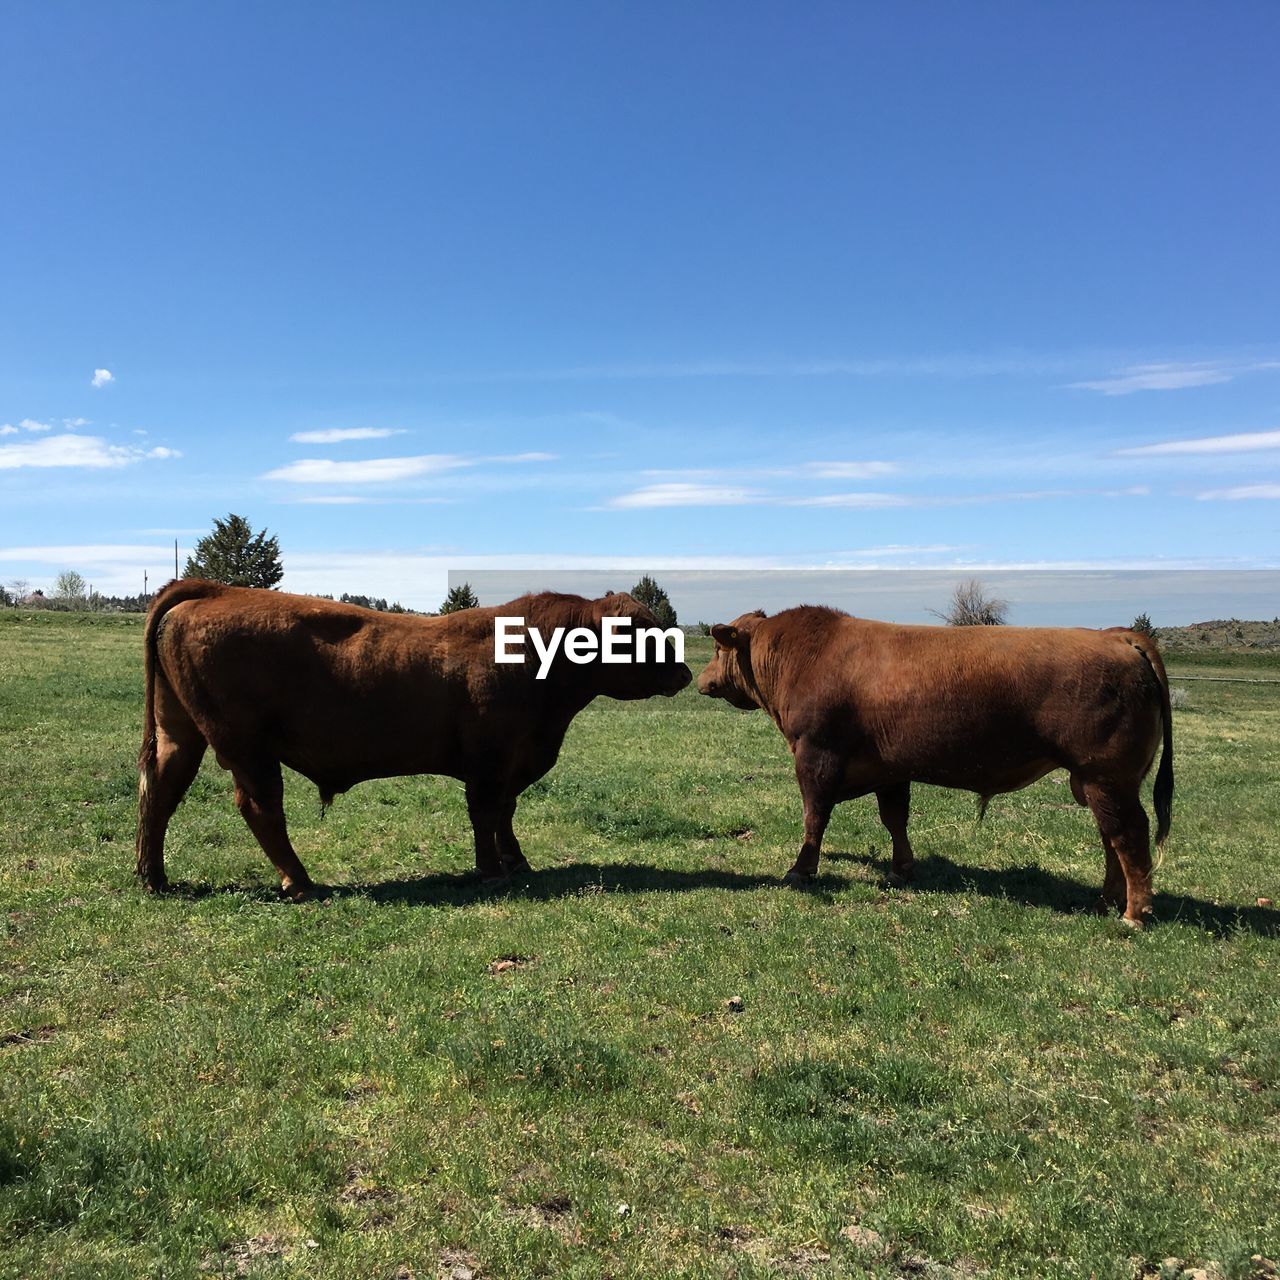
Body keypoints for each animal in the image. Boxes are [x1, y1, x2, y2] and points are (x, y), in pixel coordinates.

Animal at [137, 583, 691, 896]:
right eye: (638, 633)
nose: (685, 673)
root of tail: (214, 591)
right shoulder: (491, 759)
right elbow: (486, 813)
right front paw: (491, 871)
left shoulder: (514, 760)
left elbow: (505, 812)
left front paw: (516, 862)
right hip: (247, 746)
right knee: (260, 807)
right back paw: (300, 882)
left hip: (180, 732)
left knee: (159, 791)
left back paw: (153, 877)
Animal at [696, 604, 1172, 926]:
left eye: (718, 647)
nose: (701, 680)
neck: (804, 656)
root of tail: (1116, 636)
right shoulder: (889, 770)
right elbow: (895, 819)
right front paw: (902, 869)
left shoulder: (816, 757)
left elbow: (815, 818)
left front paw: (801, 870)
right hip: (1098, 782)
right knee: (1111, 838)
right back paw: (1105, 901)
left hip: (1106, 777)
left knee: (1128, 835)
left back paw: (1134, 912)